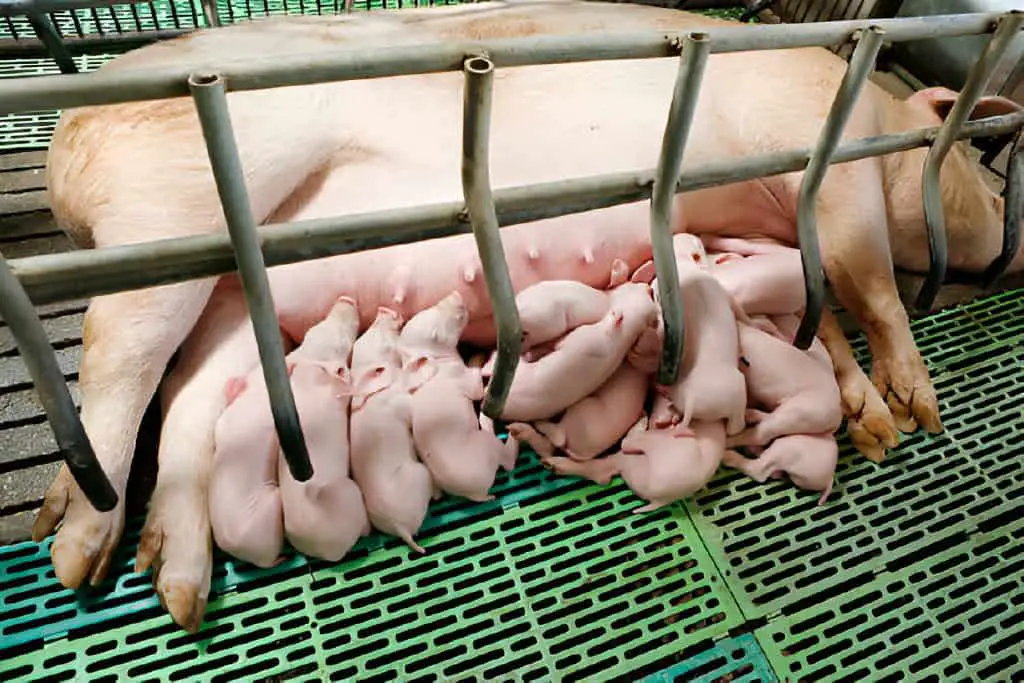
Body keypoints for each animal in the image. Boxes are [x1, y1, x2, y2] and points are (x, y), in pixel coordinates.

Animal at [34, 0, 1024, 634]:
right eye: (986, 177)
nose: (1011, 244)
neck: (884, 126)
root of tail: (59, 145)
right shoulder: (835, 166)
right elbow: (874, 288)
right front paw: (920, 413)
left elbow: (830, 320)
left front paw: (875, 426)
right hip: (170, 203)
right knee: (116, 356)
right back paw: (74, 552)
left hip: (238, 291)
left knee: (191, 394)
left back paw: (178, 588)